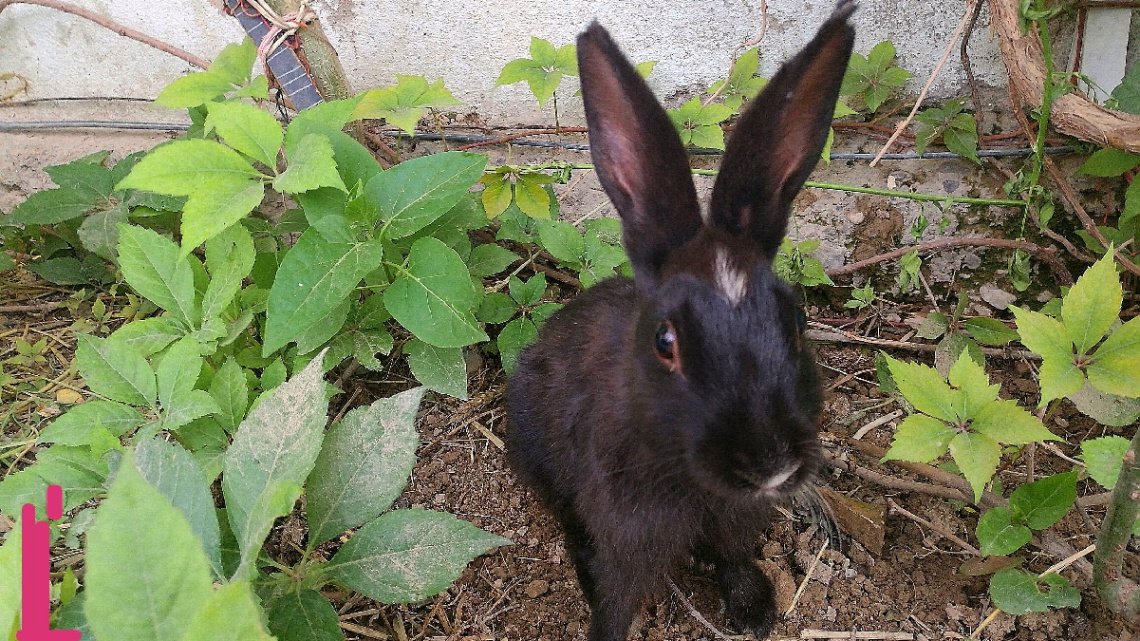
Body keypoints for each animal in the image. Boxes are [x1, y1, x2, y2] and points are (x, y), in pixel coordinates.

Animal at [505, 4, 855, 641]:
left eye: (796, 318)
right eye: (665, 342)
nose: (770, 464)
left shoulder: (736, 522)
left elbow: (733, 555)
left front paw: (754, 610)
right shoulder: (628, 534)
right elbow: (617, 597)